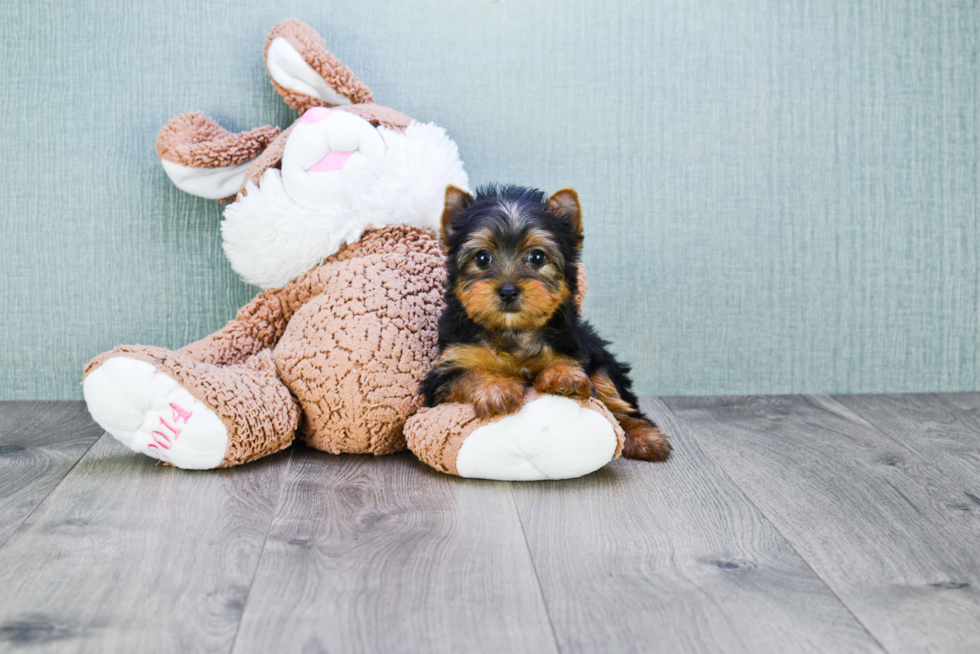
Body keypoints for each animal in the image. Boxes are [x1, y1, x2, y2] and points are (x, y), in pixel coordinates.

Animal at [418, 183, 668, 462]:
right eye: (482, 258)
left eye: (537, 257)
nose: (507, 291)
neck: (512, 331)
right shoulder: (447, 370)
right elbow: (468, 374)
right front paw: (496, 388)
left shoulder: (572, 345)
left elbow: (571, 365)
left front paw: (563, 375)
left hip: (598, 351)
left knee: (613, 395)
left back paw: (643, 436)